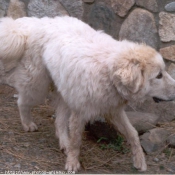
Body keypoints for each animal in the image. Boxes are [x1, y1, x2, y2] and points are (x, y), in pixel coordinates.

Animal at [0, 15, 175, 172]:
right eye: (159, 75)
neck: (109, 72)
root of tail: (36, 23)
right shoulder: (80, 112)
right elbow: (76, 141)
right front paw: (72, 163)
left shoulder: (113, 110)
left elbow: (133, 133)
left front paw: (139, 161)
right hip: (38, 85)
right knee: (22, 101)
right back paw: (28, 124)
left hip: (64, 92)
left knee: (59, 121)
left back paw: (64, 142)